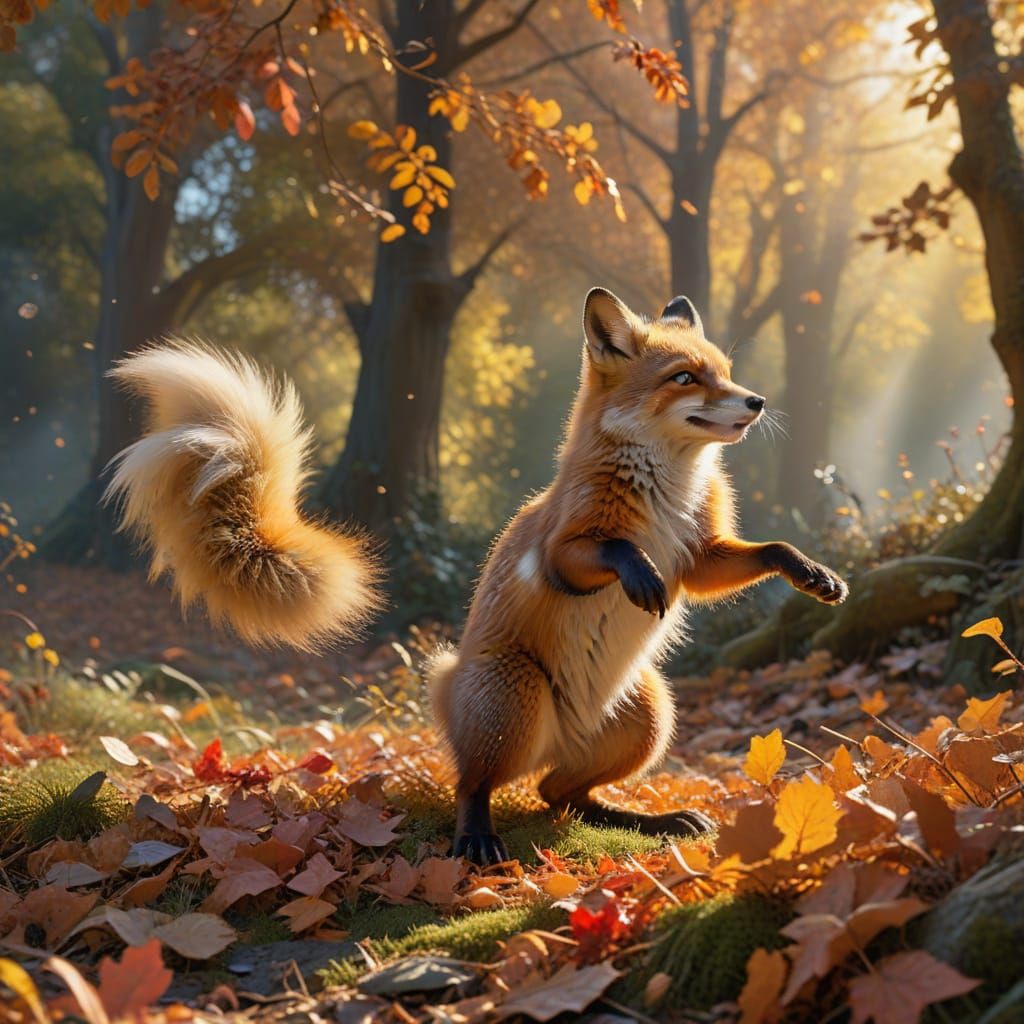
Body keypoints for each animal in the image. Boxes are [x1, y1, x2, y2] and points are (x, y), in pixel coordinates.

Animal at [104, 288, 848, 864]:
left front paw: (813, 574)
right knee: (477, 784)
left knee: (559, 797)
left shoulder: (698, 555)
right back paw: (477, 838)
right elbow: (608, 552)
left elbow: (765, 551)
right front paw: (637, 574)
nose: (756, 402)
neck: (667, 491)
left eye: (724, 372)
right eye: (686, 379)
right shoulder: (565, 548)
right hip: (515, 693)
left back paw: (643, 819)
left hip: (648, 716)